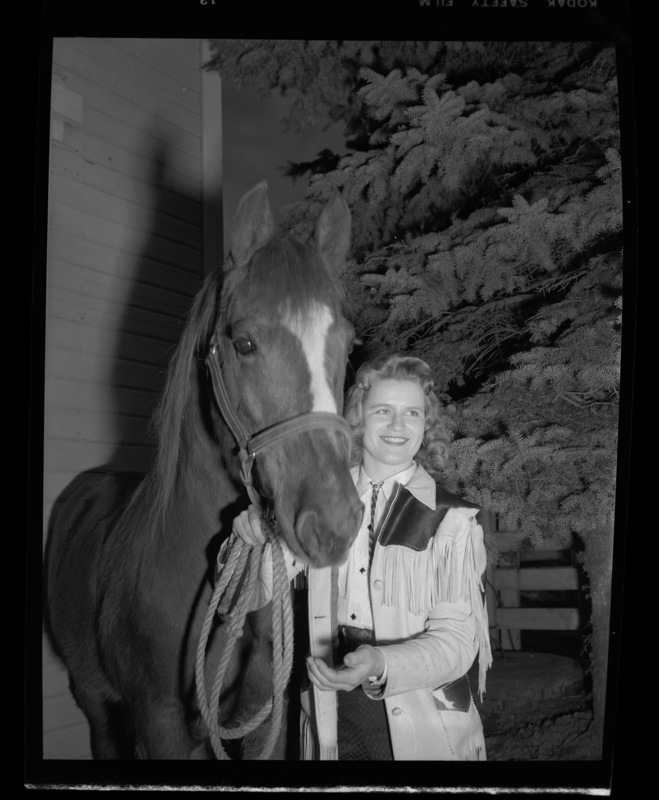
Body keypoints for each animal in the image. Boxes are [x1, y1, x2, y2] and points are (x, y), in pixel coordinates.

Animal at [45, 183, 366, 764]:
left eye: (349, 346)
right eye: (243, 343)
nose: (333, 523)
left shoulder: (262, 719)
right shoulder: (161, 723)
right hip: (94, 698)